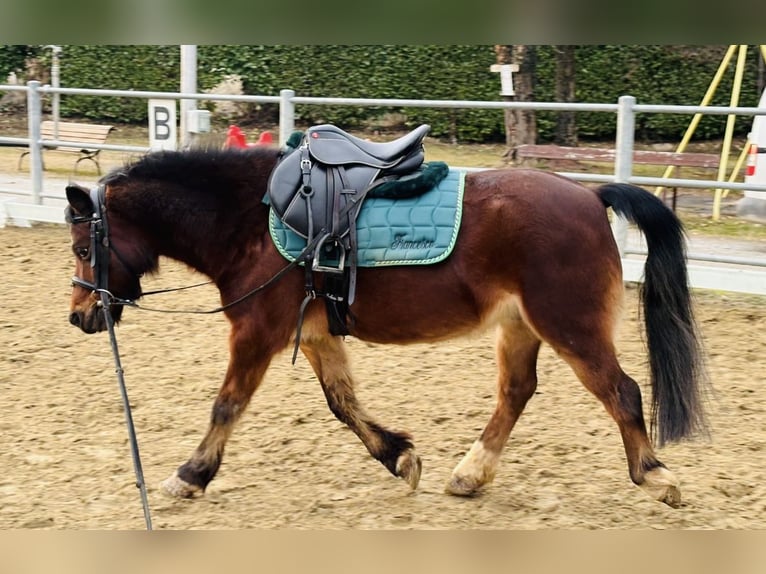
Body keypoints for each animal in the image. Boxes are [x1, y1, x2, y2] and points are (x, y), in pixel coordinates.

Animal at [64, 143, 708, 509]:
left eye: (82, 247)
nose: (79, 315)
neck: (249, 218)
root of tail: (590, 195)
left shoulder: (257, 333)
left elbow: (226, 406)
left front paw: (191, 476)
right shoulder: (315, 334)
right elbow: (343, 404)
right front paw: (399, 457)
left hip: (570, 326)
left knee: (621, 391)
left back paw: (655, 476)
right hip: (520, 327)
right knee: (516, 392)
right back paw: (470, 474)